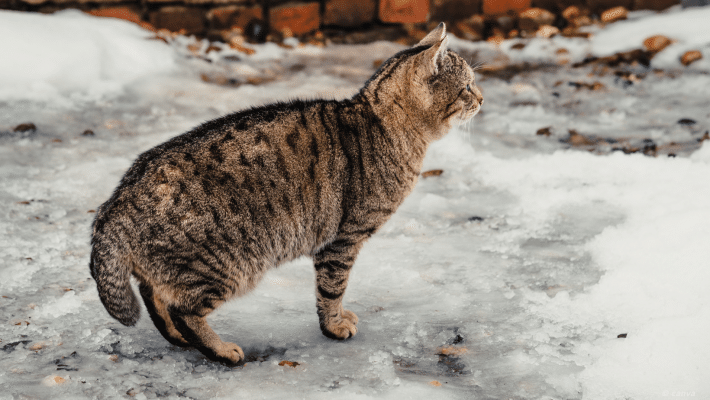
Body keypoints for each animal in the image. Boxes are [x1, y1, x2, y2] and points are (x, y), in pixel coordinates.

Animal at [89, 22, 484, 366]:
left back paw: (178, 338)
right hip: (228, 267)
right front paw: (335, 325)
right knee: (182, 310)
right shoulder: (342, 240)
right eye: (467, 87)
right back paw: (221, 351)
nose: (482, 98)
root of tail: (115, 203)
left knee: (154, 295)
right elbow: (332, 289)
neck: (384, 125)